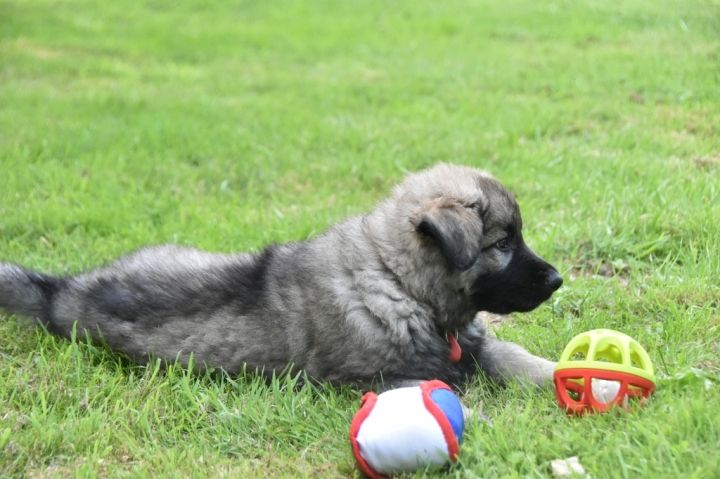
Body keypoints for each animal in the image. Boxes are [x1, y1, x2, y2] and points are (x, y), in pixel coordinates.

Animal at [0, 163, 565, 390]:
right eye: (503, 244)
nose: (558, 279)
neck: (400, 285)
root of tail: (63, 292)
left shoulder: (475, 343)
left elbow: (514, 356)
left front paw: (556, 374)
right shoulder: (366, 379)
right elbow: (432, 387)